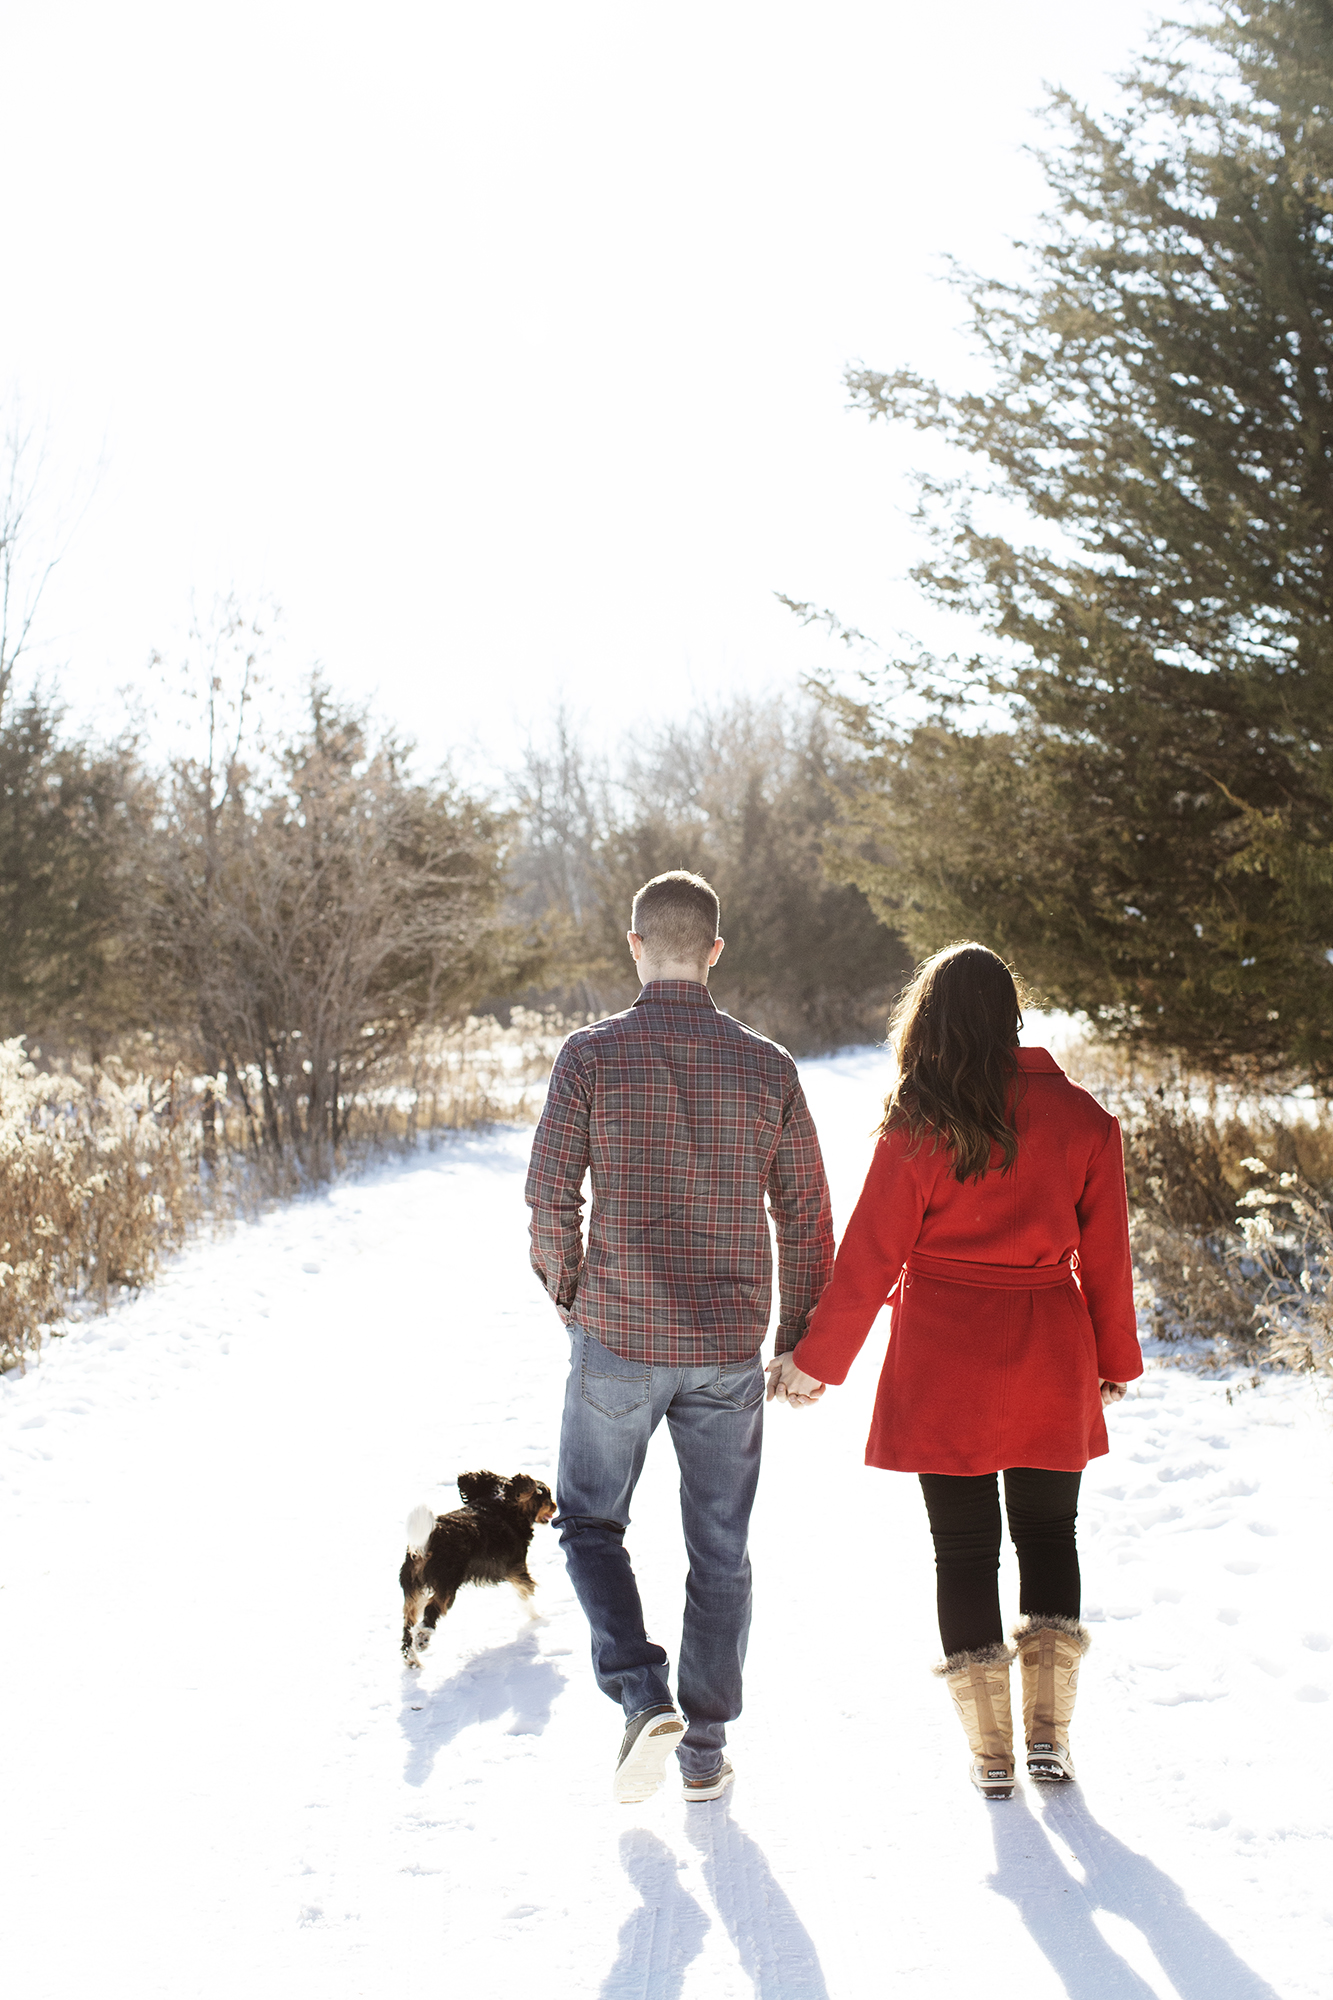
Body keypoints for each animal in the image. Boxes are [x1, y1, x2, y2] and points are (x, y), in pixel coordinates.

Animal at [400, 1472, 556, 1672]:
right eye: (547, 1497)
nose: (555, 1505)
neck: (504, 1504)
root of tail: (425, 1544)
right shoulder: (517, 1569)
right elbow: (526, 1595)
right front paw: (537, 1618)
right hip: (447, 1585)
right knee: (431, 1611)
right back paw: (423, 1639)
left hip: (413, 1591)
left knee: (408, 1627)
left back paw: (412, 1660)